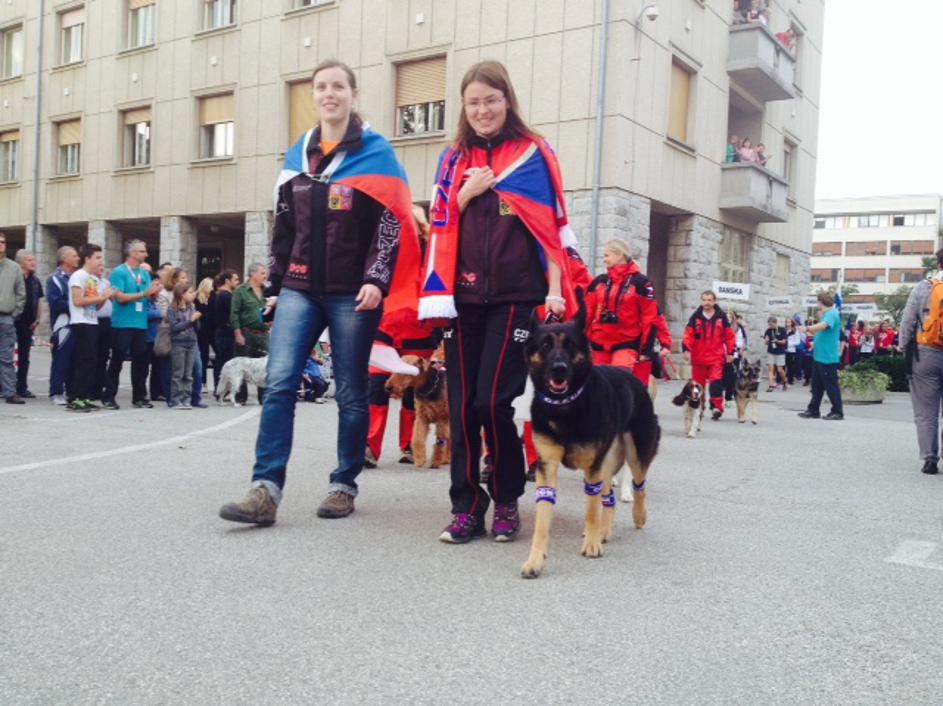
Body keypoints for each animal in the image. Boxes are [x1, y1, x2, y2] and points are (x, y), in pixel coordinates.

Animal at [520, 291, 661, 579]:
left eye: (570, 345)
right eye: (545, 345)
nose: (559, 368)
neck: (566, 406)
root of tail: (633, 379)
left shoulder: (593, 466)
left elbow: (591, 510)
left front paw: (592, 544)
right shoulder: (547, 466)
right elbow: (543, 520)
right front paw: (535, 560)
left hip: (634, 454)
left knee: (638, 484)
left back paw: (637, 515)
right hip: (607, 463)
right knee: (608, 498)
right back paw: (605, 530)